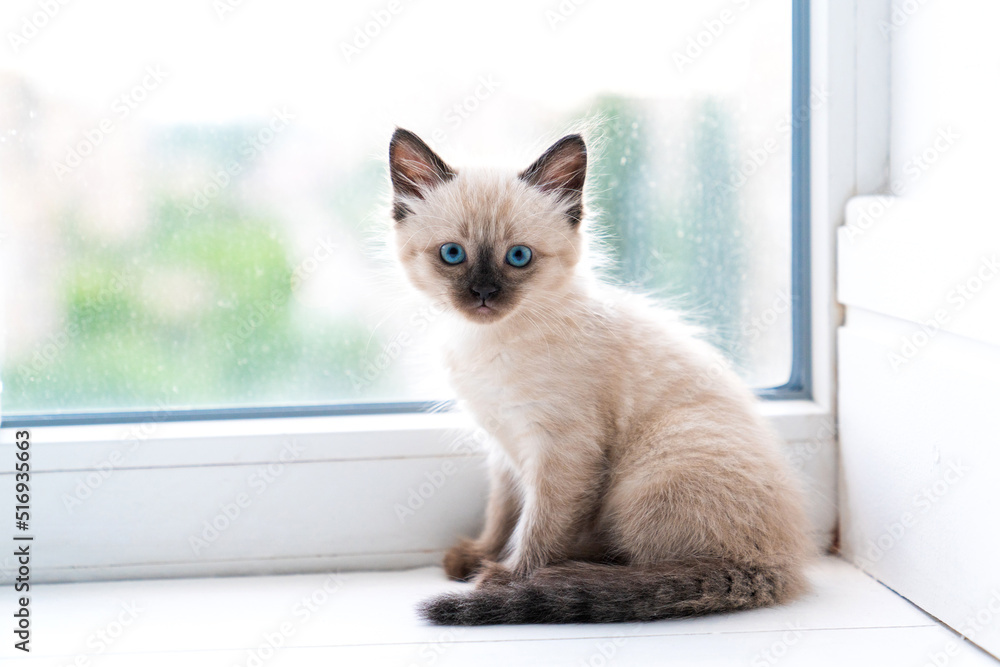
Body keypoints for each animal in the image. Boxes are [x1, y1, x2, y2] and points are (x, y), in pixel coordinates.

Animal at [388, 128, 812, 624]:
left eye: (518, 257)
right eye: (452, 254)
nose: (484, 294)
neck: (491, 340)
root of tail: (775, 563)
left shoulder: (562, 450)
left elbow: (538, 527)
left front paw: (510, 579)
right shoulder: (503, 445)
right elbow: (502, 512)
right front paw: (480, 555)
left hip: (655, 467)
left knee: (666, 572)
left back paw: (573, 577)